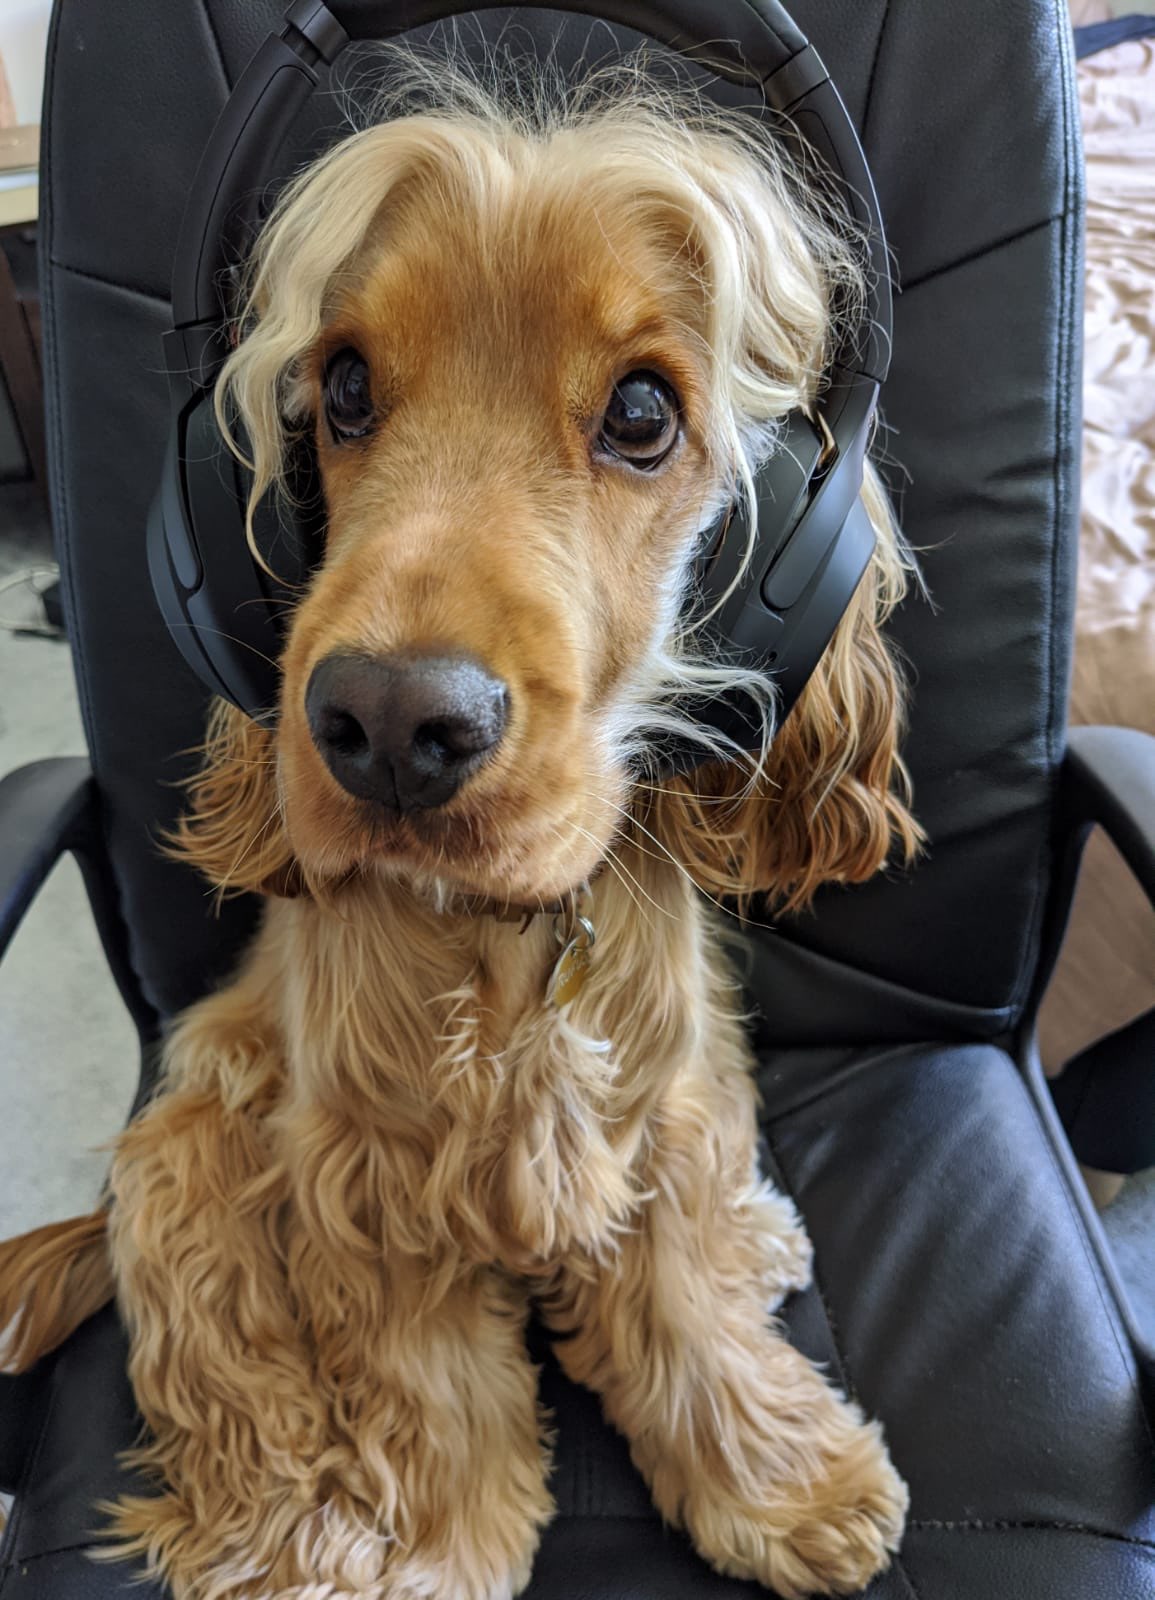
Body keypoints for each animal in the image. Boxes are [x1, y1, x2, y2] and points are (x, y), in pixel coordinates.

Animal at [0, 65, 915, 1600]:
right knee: (232, 1396)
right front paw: (436, 1550)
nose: (385, 722)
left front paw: (779, 1480)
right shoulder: (365, 1180)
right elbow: (427, 1400)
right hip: (188, 1148)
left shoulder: (658, 1110)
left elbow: (685, 1310)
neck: (510, 947)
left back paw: (762, 1232)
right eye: (344, 389)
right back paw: (292, 1538)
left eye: (642, 414)